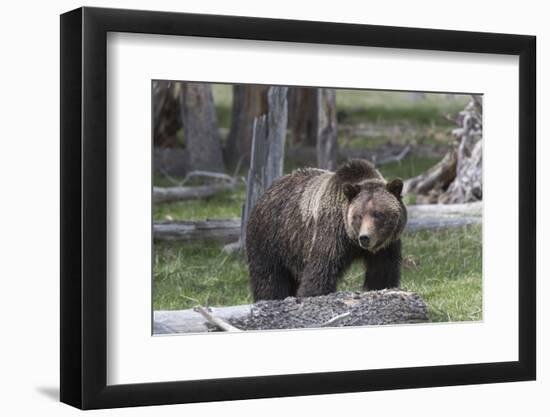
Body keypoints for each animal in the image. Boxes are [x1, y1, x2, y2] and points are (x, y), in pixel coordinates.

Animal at [248, 158, 408, 300]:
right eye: (359, 216)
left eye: (378, 214)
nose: (365, 238)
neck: (352, 241)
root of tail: (266, 192)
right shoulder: (331, 232)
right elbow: (321, 269)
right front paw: (312, 293)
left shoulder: (386, 247)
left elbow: (383, 274)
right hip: (271, 236)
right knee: (269, 276)